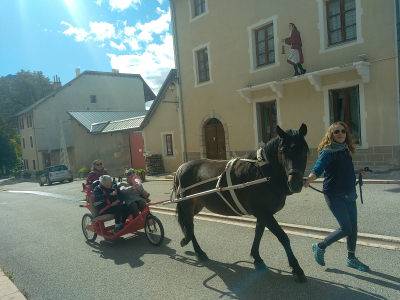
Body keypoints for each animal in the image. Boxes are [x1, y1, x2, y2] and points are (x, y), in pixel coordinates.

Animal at [173, 123, 310, 282]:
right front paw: (297, 269)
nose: (295, 184)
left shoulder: (263, 214)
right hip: (188, 204)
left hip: (197, 204)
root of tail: (181, 167)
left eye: (304, 150)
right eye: (282, 151)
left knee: (189, 225)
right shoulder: (264, 213)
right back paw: (198, 251)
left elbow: (258, 233)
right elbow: (283, 237)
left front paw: (257, 258)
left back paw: (189, 242)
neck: (262, 174)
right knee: (190, 226)